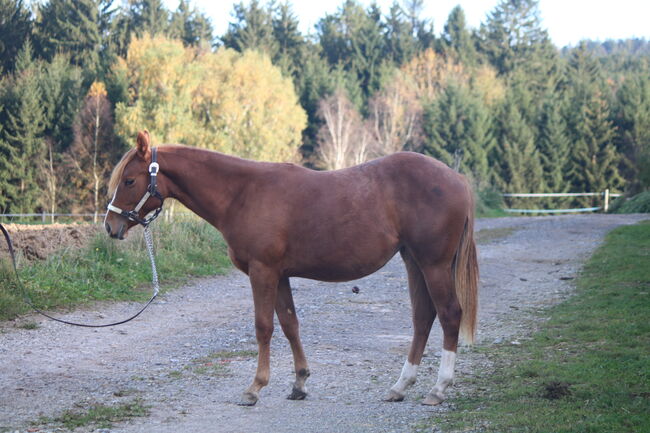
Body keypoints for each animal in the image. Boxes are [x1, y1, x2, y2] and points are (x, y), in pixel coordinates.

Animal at [105, 131, 476, 404]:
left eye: (129, 181)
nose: (111, 227)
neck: (243, 193)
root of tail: (456, 177)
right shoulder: (280, 274)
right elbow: (289, 324)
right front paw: (299, 384)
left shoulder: (263, 271)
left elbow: (263, 327)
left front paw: (254, 388)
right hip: (414, 262)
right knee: (423, 317)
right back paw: (400, 387)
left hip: (433, 264)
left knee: (449, 314)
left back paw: (438, 389)